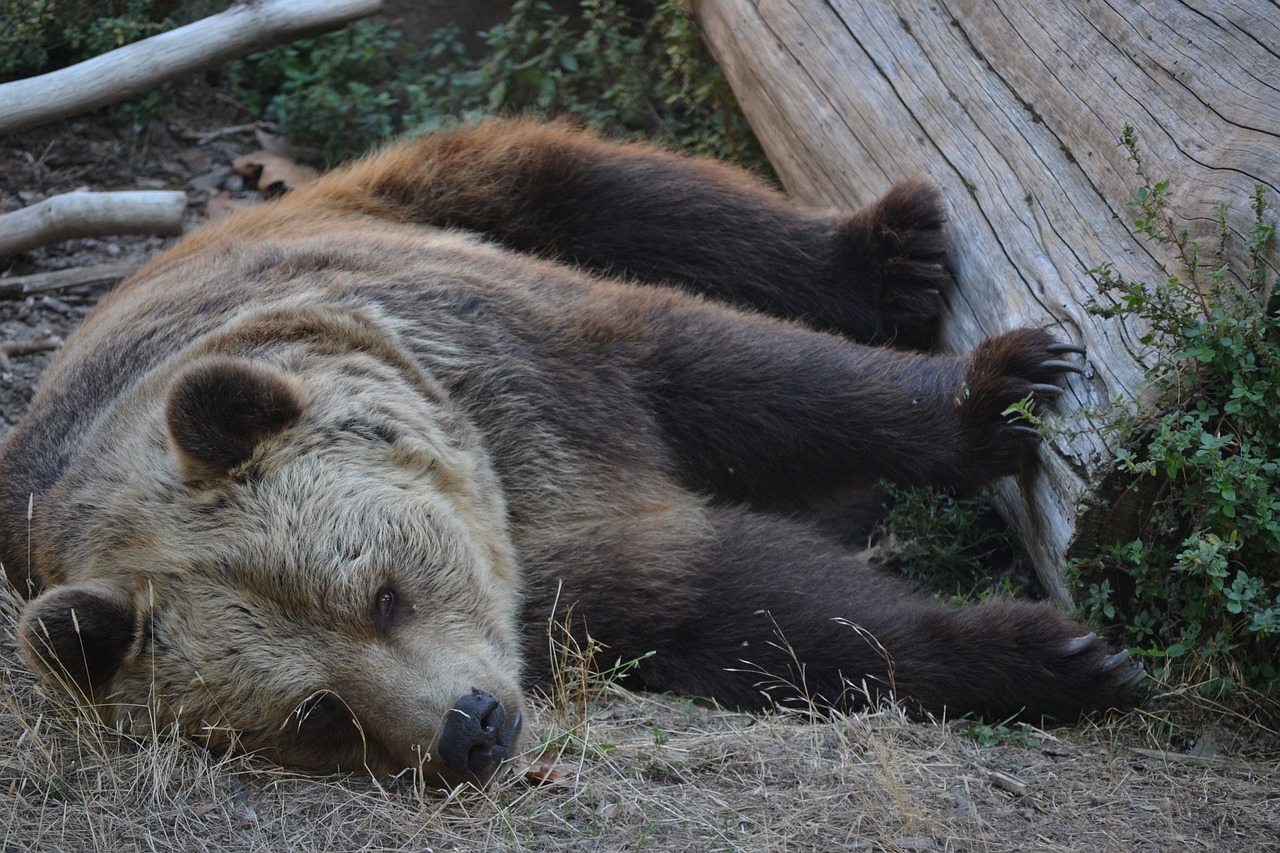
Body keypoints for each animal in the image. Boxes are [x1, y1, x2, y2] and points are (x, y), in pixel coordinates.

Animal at [0, 119, 1146, 783]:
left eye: (381, 595)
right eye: (317, 712)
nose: (469, 726)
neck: (501, 487)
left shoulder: (520, 359)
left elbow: (744, 377)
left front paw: (1001, 392)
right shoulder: (570, 583)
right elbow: (754, 610)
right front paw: (1046, 654)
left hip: (408, 199)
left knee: (614, 189)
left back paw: (893, 247)